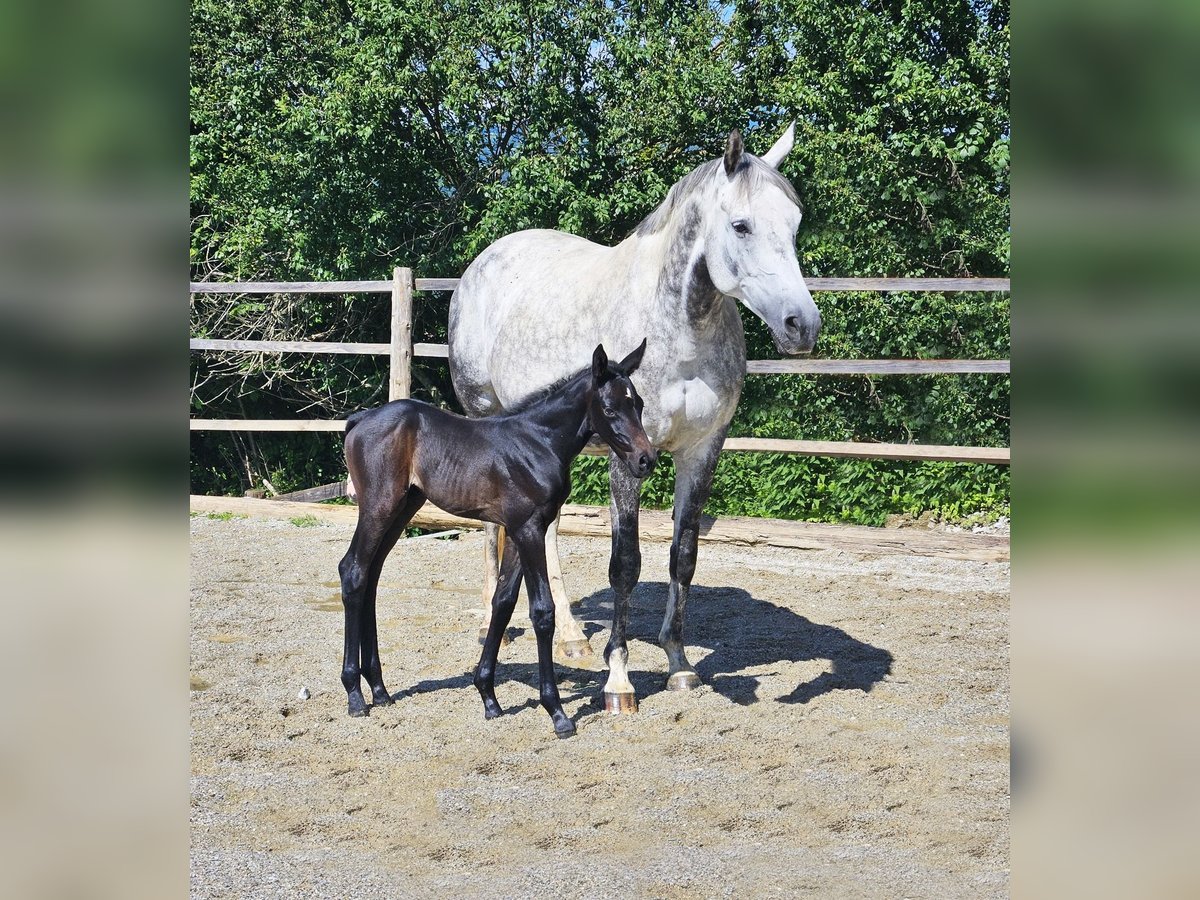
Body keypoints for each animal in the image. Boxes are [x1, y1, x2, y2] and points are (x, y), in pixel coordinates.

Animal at [338, 340, 657, 734]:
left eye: (639, 404)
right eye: (610, 408)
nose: (646, 460)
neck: (539, 442)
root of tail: (360, 420)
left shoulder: (522, 529)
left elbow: (503, 602)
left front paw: (489, 698)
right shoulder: (529, 529)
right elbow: (542, 611)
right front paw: (557, 712)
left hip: (403, 507)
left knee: (371, 575)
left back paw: (380, 689)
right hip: (378, 507)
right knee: (353, 570)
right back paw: (355, 695)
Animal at [451, 125, 825, 710]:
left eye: (794, 223)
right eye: (741, 225)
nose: (801, 325)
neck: (679, 331)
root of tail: (483, 262)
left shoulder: (702, 450)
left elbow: (683, 557)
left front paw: (679, 663)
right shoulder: (627, 457)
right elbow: (625, 565)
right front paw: (619, 680)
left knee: (547, 531)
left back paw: (573, 638)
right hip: (488, 419)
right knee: (495, 527)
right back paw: (503, 620)